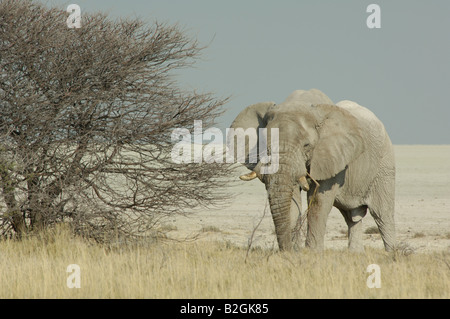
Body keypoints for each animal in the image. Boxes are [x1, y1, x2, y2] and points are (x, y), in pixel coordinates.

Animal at [230, 89, 396, 252]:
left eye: (306, 145)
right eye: (264, 143)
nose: (286, 250)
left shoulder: (332, 157)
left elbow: (318, 202)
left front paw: (312, 253)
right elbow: (292, 201)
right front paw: (294, 252)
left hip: (384, 166)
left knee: (382, 215)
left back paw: (391, 254)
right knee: (352, 217)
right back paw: (355, 254)